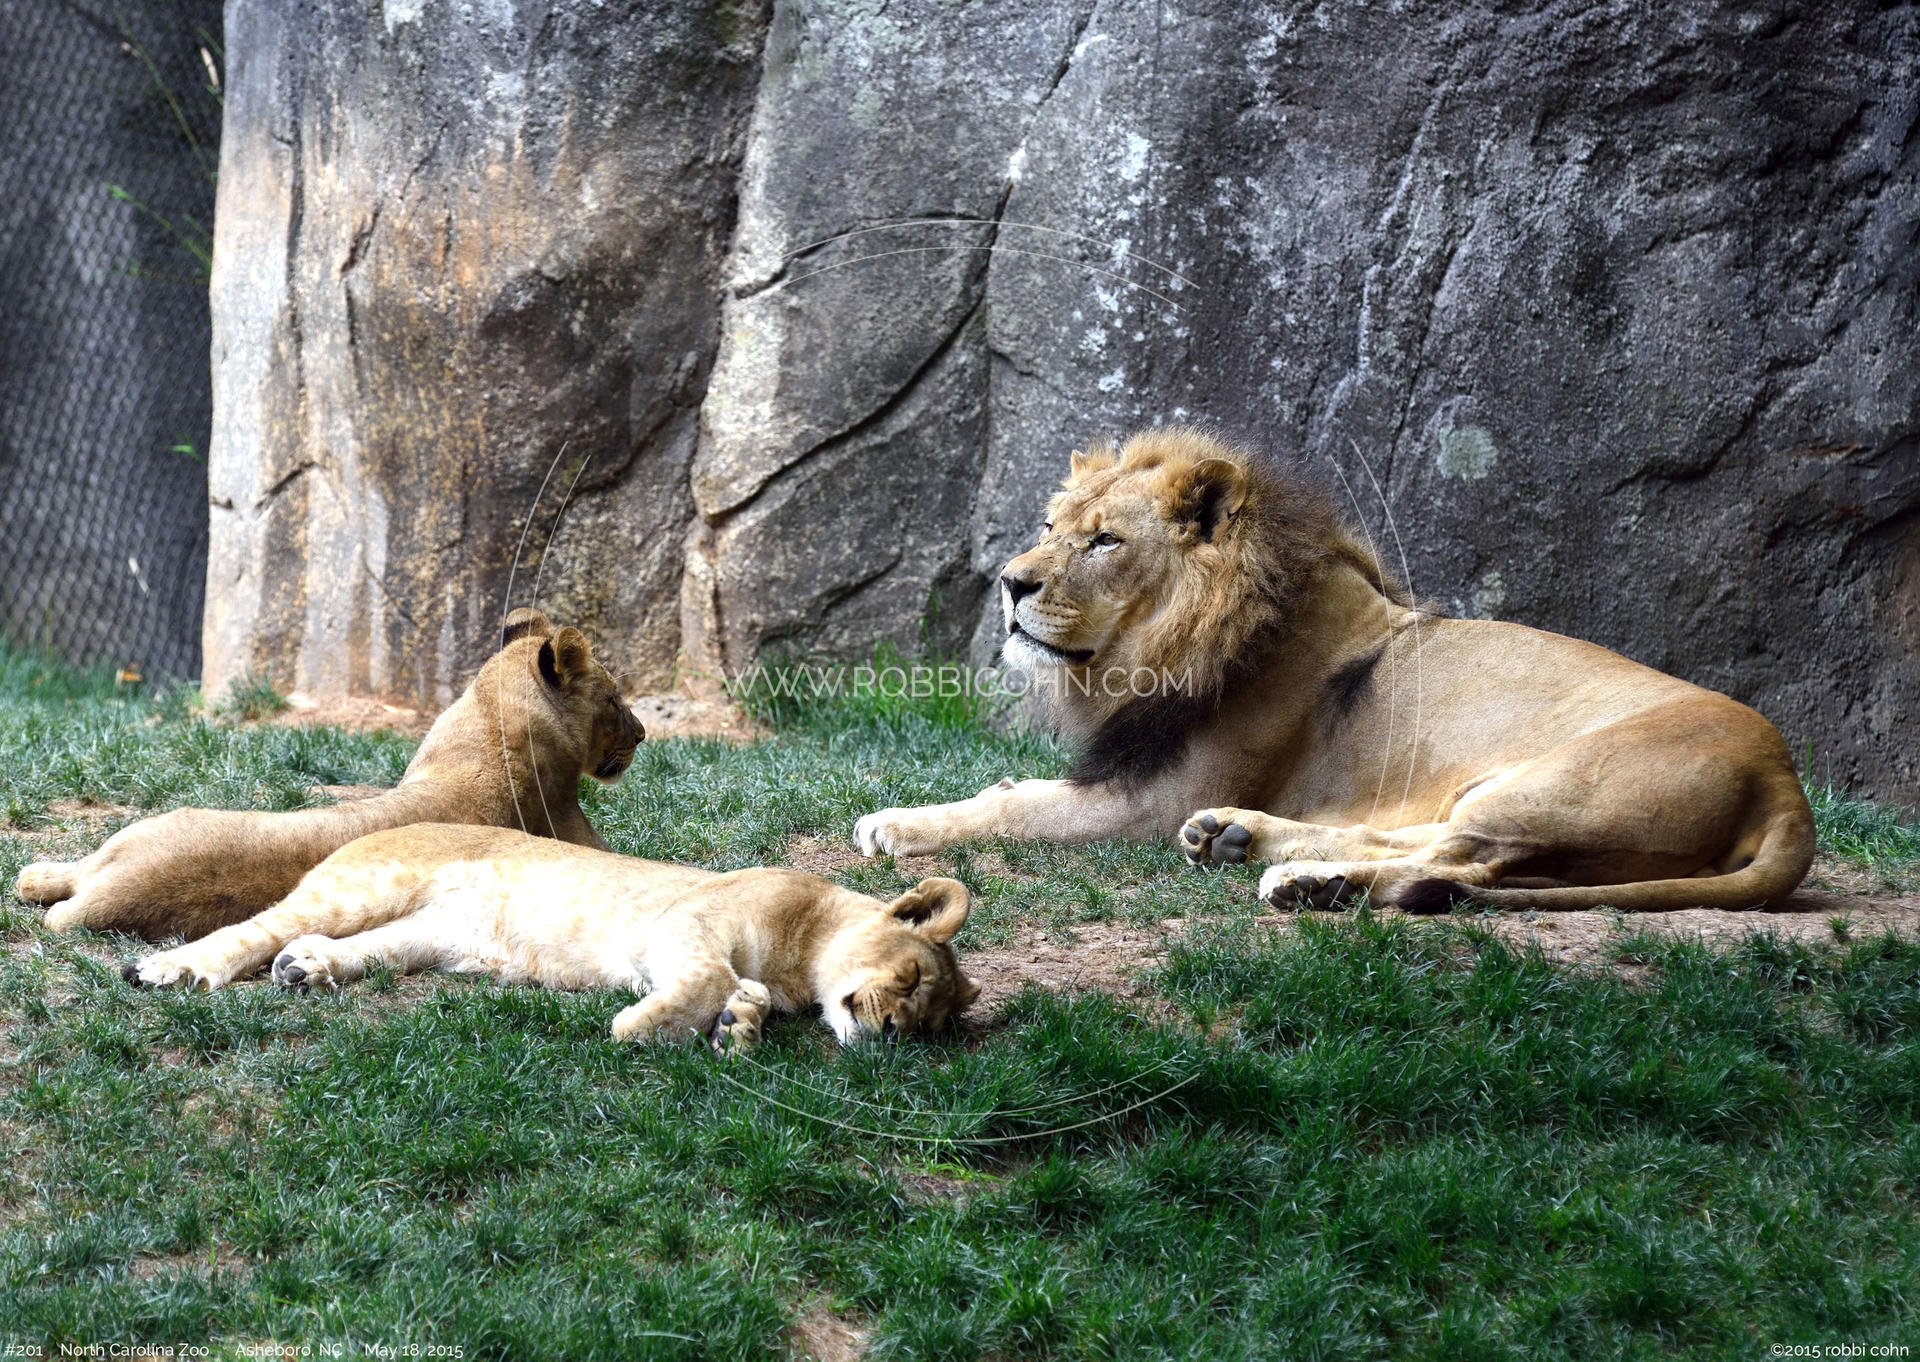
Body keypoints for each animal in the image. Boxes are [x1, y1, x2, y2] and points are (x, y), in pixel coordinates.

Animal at [16, 608, 644, 941]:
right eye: (615, 700)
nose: (641, 735)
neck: (493, 717)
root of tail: (102, 898)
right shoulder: (568, 825)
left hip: (132, 834)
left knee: (55, 876)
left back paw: (37, 875)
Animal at [126, 824, 980, 1049]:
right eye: (908, 979)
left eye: (932, 1026)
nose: (894, 1035)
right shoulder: (687, 923)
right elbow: (706, 975)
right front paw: (640, 1025)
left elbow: (744, 990)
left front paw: (737, 1028)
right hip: (358, 888)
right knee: (250, 929)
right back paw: (170, 970)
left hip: (429, 935)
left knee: (350, 947)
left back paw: (307, 969)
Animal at [855, 427, 1815, 914]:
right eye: (1052, 526)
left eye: (1105, 541)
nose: (1011, 582)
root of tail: (1786, 787)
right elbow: (1011, 788)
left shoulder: (1149, 799)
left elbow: (1017, 806)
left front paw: (897, 823)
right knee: (1425, 846)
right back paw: (1247, 843)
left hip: (1558, 783)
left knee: (1464, 865)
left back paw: (1302, 880)